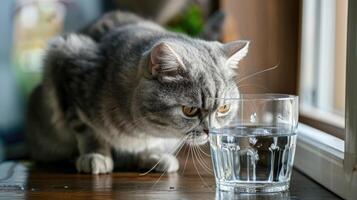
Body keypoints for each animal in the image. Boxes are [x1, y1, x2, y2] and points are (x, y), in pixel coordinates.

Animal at [25, 10, 248, 173]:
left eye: (224, 108)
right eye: (190, 110)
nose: (211, 131)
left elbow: (150, 145)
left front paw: (153, 155)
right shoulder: (68, 64)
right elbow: (88, 131)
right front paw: (95, 155)